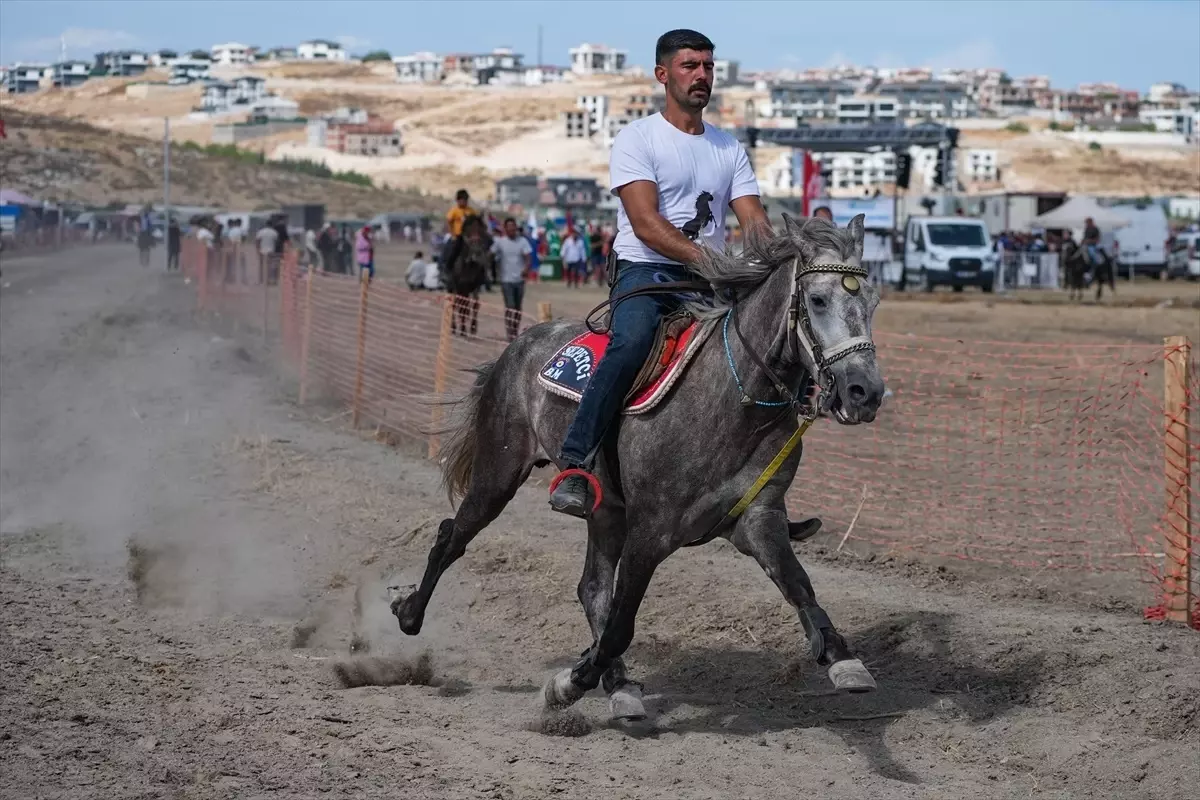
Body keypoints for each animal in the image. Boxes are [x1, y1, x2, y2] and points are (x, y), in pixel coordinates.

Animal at [391, 215, 883, 724]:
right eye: (818, 300)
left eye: (872, 302)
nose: (865, 392)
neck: (733, 397)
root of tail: (518, 346)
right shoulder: (650, 531)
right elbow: (622, 623)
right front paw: (568, 683)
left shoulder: (758, 519)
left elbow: (799, 586)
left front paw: (842, 658)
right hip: (499, 472)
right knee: (453, 536)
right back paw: (410, 614)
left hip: (605, 508)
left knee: (591, 587)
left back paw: (619, 683)